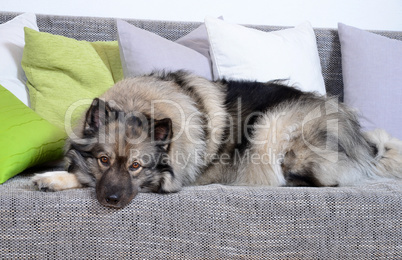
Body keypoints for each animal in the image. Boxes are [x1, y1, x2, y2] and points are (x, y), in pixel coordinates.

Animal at [32, 70, 402, 208]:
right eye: (104, 160)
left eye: (137, 167)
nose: (111, 200)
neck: (140, 105)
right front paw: (53, 177)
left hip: (271, 128)